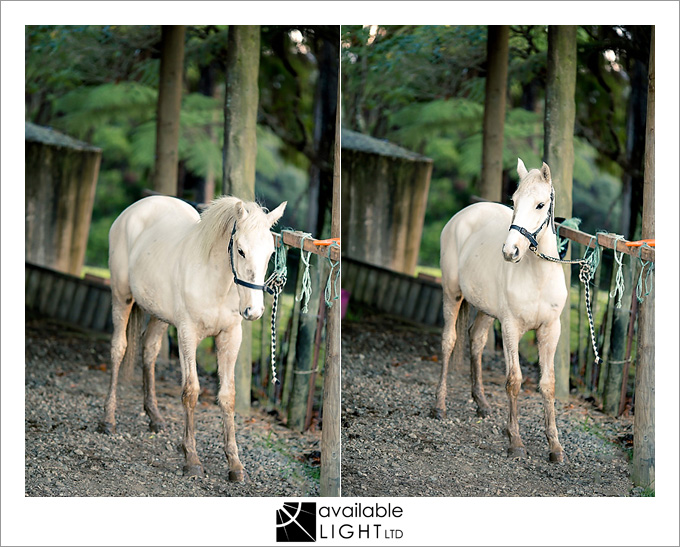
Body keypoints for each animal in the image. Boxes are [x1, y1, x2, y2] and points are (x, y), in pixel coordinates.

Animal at [99, 195, 286, 482]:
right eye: (241, 250)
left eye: (270, 254)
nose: (253, 311)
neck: (216, 283)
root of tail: (134, 208)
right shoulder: (187, 333)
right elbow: (191, 391)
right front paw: (192, 459)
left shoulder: (230, 337)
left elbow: (227, 395)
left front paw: (235, 464)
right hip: (122, 298)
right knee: (118, 349)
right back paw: (108, 420)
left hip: (159, 315)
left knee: (149, 351)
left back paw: (155, 417)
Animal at [436, 157, 568, 462]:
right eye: (514, 201)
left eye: (540, 204)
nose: (510, 252)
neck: (538, 276)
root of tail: (462, 215)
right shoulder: (510, 327)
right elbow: (514, 381)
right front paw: (515, 442)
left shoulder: (550, 330)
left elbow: (548, 384)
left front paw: (555, 447)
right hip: (452, 295)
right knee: (449, 341)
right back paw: (439, 406)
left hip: (486, 310)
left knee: (476, 341)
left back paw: (482, 404)